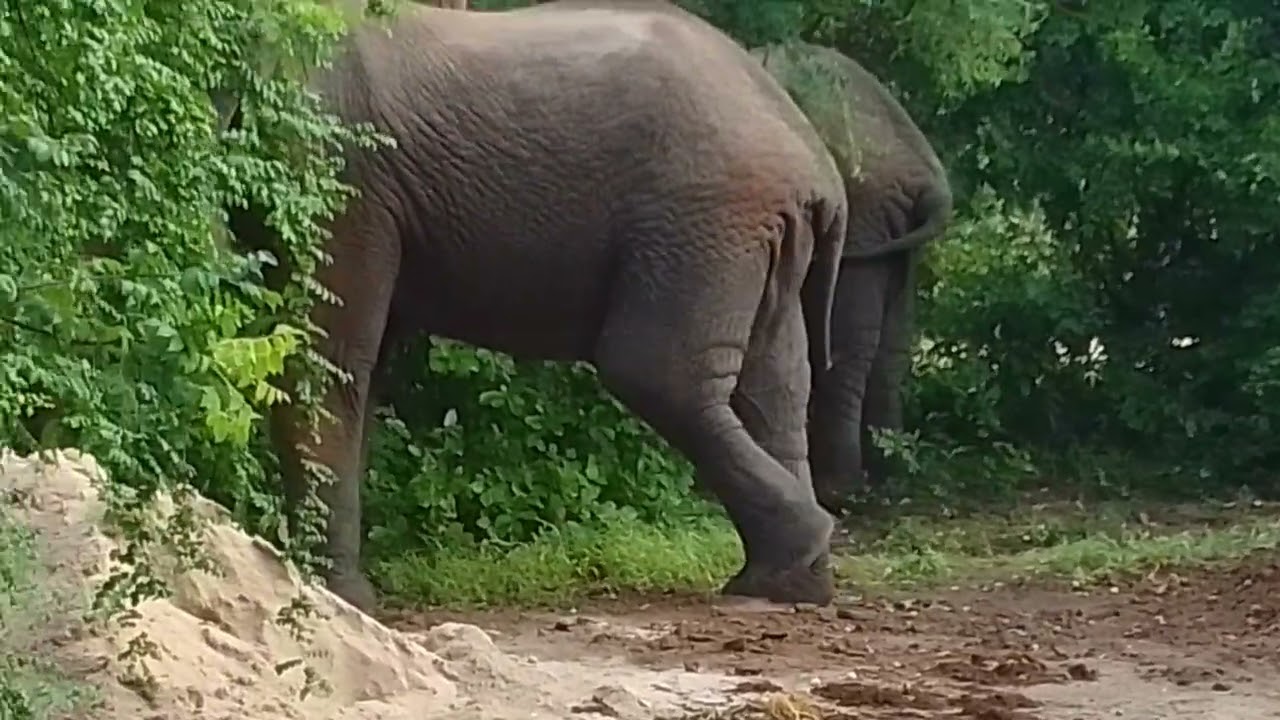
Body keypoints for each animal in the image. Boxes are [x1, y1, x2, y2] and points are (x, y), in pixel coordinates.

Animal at [227, 0, 849, 612]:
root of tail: (819, 170)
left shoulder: (335, 166)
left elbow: (322, 360)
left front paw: (339, 597)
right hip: (755, 237)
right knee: (776, 387)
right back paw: (788, 582)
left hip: (705, 220)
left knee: (657, 374)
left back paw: (795, 554)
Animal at [749, 41, 954, 514]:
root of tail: (928, 178)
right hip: (889, 232)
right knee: (892, 345)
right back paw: (889, 473)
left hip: (861, 215)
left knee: (845, 346)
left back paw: (838, 490)